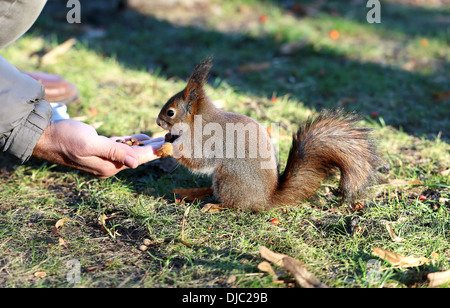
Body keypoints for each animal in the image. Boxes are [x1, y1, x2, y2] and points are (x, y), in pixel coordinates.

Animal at [156, 57, 380, 212]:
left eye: (170, 112)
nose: (157, 122)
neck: (196, 122)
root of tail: (265, 199)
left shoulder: (207, 141)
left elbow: (199, 160)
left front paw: (168, 147)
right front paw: (167, 139)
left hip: (229, 178)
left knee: (236, 205)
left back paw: (215, 206)